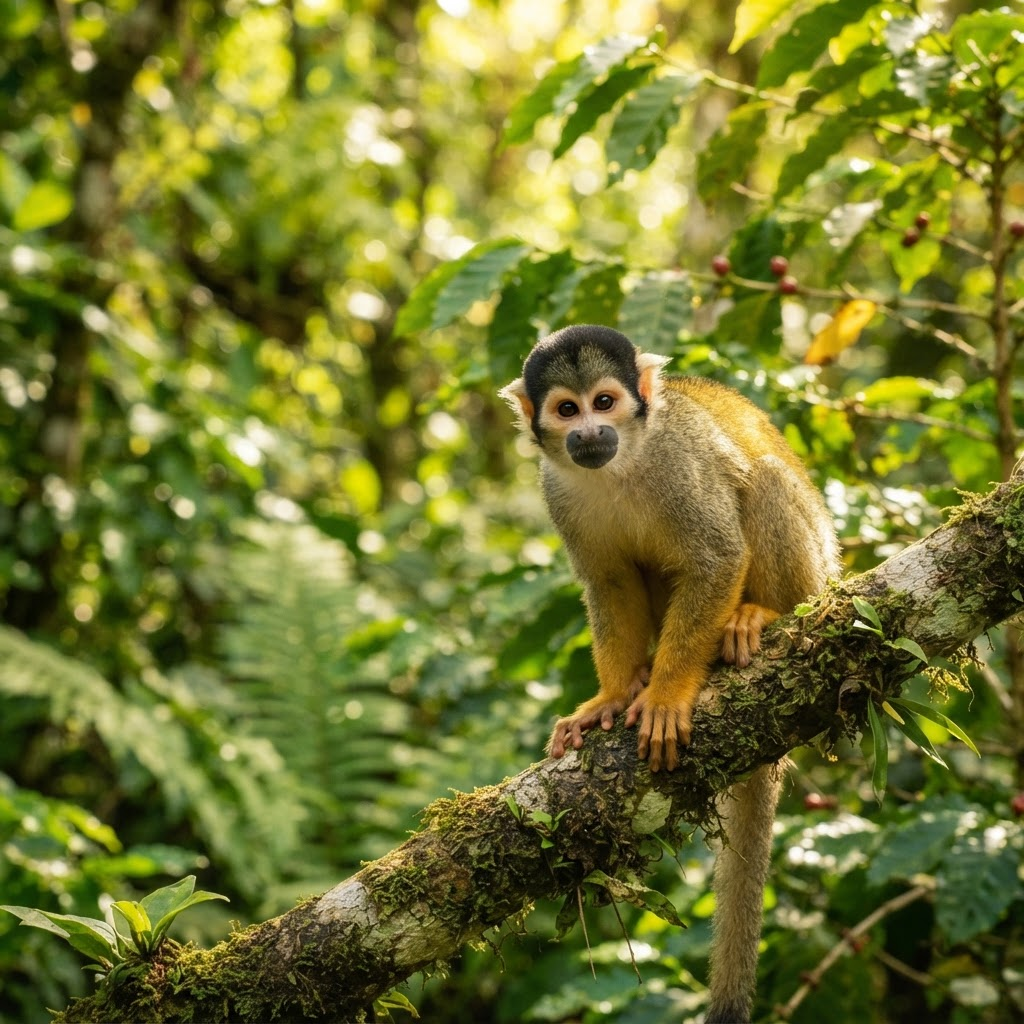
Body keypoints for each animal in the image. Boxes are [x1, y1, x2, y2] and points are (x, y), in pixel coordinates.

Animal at [499, 324, 839, 1024]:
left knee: (761, 481)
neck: (624, 463)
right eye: (567, 410)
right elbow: (609, 583)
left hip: (818, 576)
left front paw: (666, 697)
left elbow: (716, 558)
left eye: (604, 403)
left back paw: (755, 619)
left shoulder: (682, 467)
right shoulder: (557, 491)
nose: (588, 435)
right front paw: (610, 696)